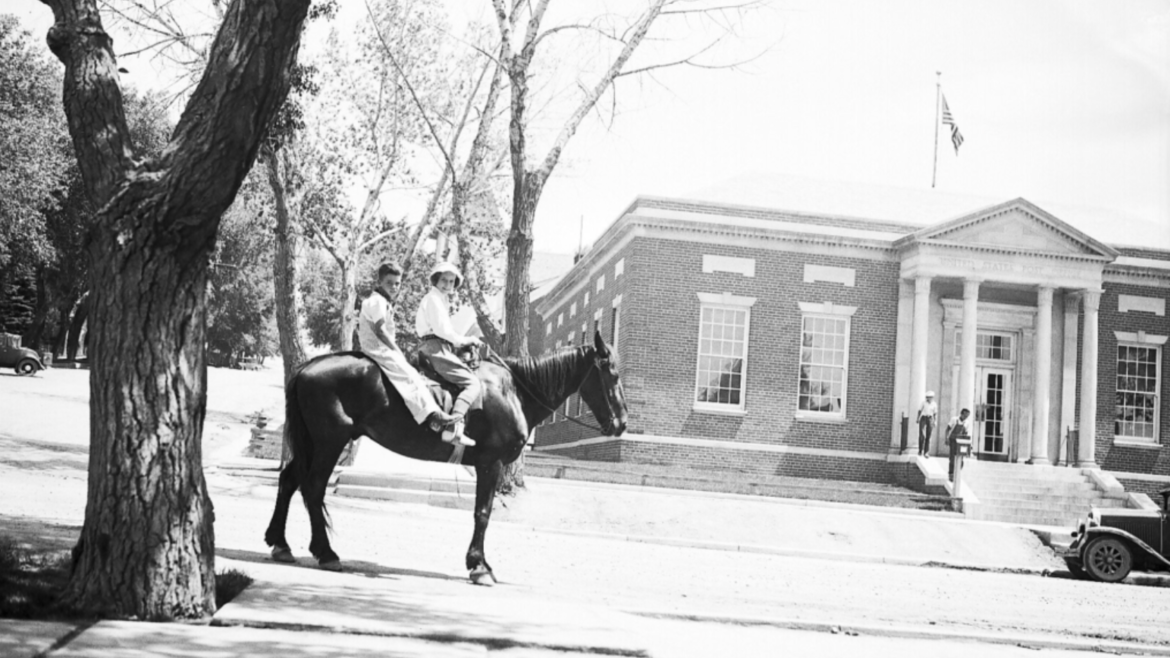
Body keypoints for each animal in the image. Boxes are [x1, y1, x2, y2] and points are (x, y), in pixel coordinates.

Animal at [262, 330, 627, 580]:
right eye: (612, 372)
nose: (622, 422)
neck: (514, 392)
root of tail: (309, 366)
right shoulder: (490, 463)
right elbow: (483, 512)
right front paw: (479, 565)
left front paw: (479, 562)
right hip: (329, 442)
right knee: (313, 487)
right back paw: (325, 552)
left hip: (314, 442)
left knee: (289, 480)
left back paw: (280, 543)